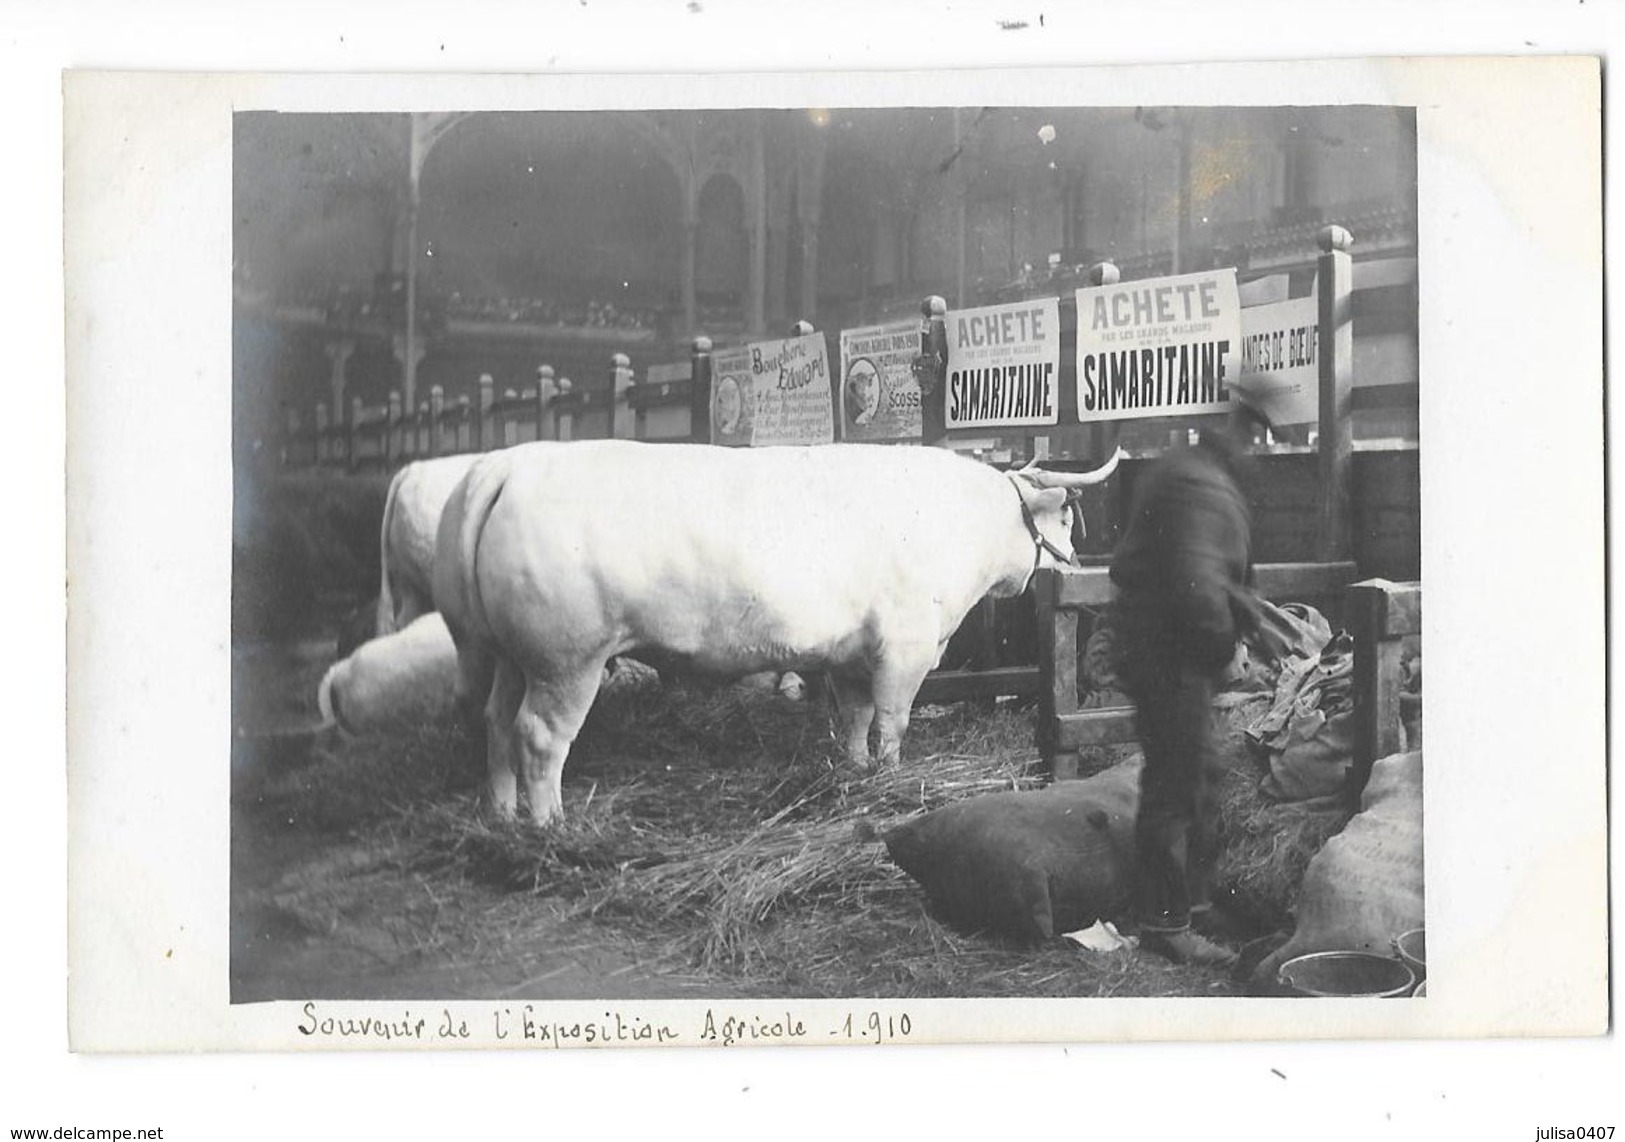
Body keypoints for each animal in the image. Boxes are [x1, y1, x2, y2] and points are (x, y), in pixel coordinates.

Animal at [435, 438, 1118, 821]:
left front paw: (855, 771)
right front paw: (892, 779)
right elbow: (893, 722)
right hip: (567, 658)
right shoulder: (906, 648)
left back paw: (502, 813)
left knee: (498, 722)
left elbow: (856, 718)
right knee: (539, 735)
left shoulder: (851, 655)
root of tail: (510, 467)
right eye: (1065, 518)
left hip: (510, 655)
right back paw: (549, 823)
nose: (1075, 567)